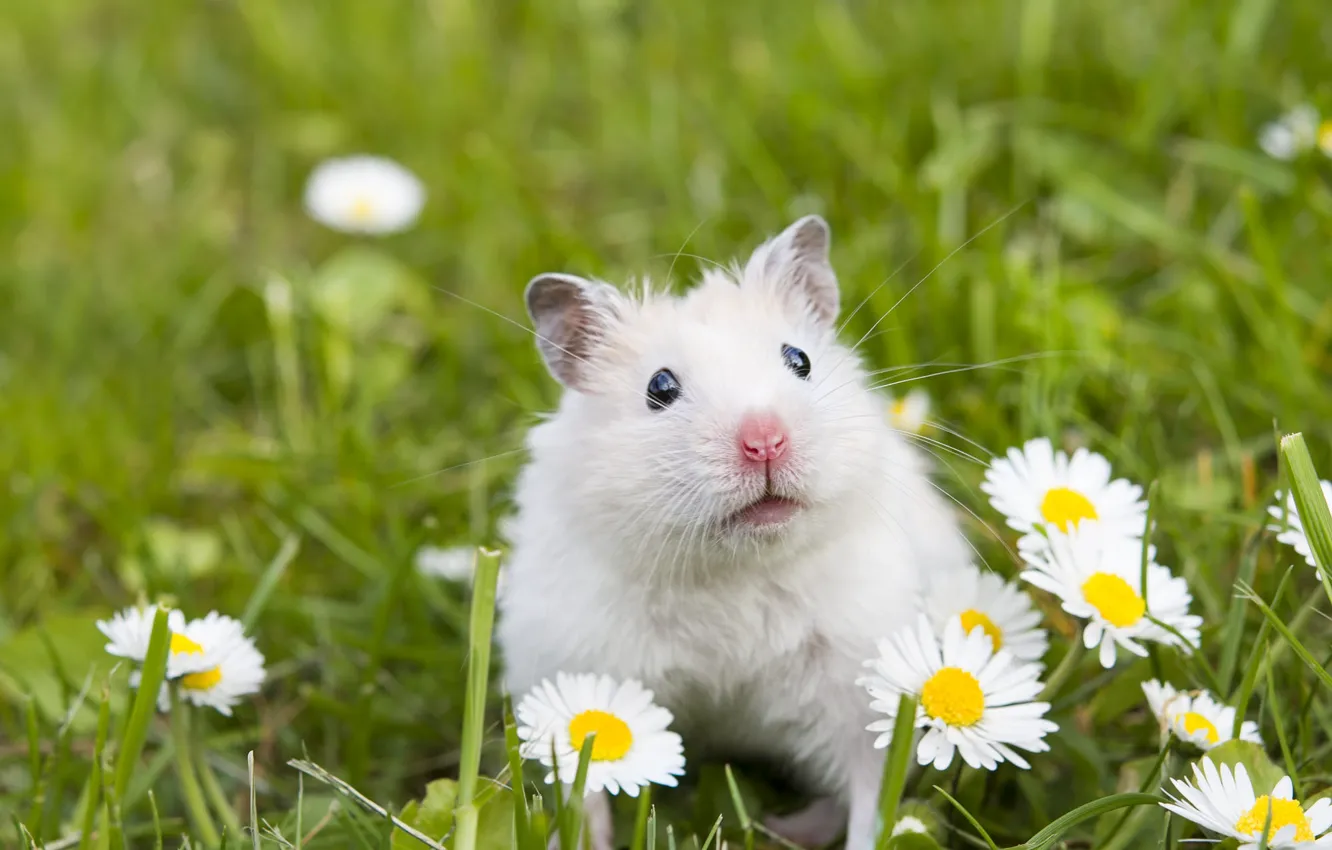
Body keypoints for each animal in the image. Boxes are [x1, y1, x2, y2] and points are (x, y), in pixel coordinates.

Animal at [496, 216, 973, 850]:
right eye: (660, 387)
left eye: (799, 359)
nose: (765, 441)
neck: (733, 567)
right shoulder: (574, 667)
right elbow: (585, 784)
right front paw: (581, 841)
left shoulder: (858, 685)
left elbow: (871, 792)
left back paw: (785, 827)